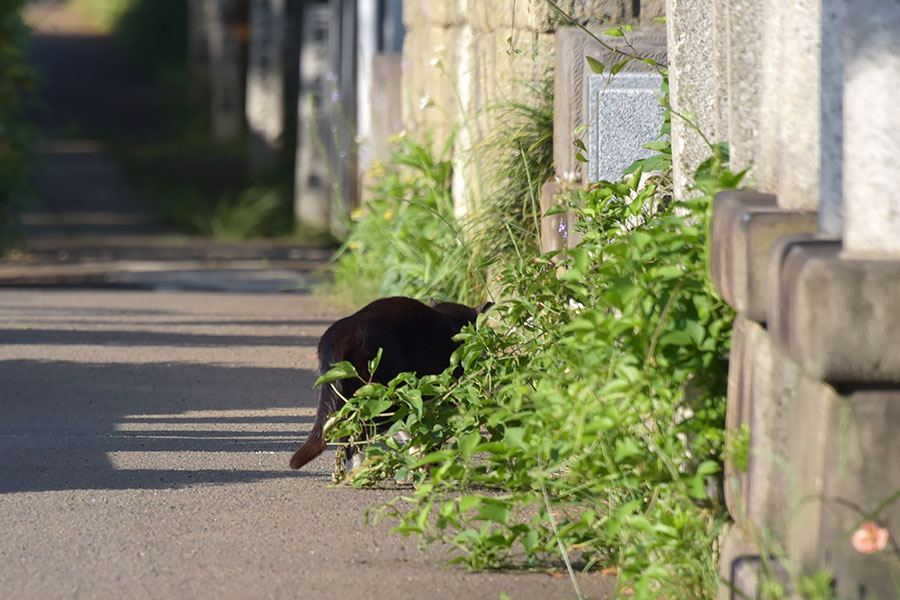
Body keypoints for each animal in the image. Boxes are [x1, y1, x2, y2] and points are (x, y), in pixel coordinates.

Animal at [290, 298, 488, 472]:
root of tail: (341, 330)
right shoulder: (439, 395)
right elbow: (431, 432)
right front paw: (435, 464)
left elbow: (413, 430)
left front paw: (422, 462)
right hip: (383, 398)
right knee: (358, 435)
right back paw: (358, 473)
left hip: (344, 391)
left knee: (347, 431)